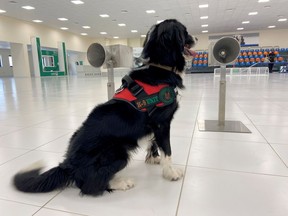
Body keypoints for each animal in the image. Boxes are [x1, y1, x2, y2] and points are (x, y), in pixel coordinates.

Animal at [12, 19, 189, 197]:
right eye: (185, 32)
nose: (193, 38)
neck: (158, 67)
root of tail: (68, 164)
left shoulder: (153, 124)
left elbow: (153, 142)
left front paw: (153, 158)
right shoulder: (162, 123)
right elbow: (167, 150)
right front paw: (171, 173)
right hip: (119, 154)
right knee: (90, 185)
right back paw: (121, 183)